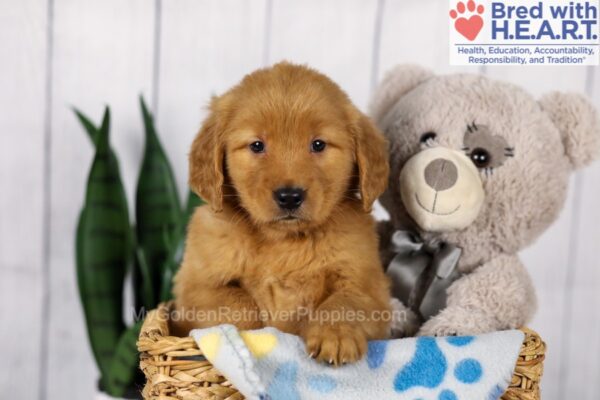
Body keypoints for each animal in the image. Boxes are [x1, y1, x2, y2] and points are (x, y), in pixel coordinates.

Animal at [171, 62, 392, 366]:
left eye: (318, 144)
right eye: (257, 145)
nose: (289, 196)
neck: (283, 242)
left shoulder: (369, 288)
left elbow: (344, 304)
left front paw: (334, 335)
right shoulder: (194, 288)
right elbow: (239, 307)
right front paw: (245, 343)